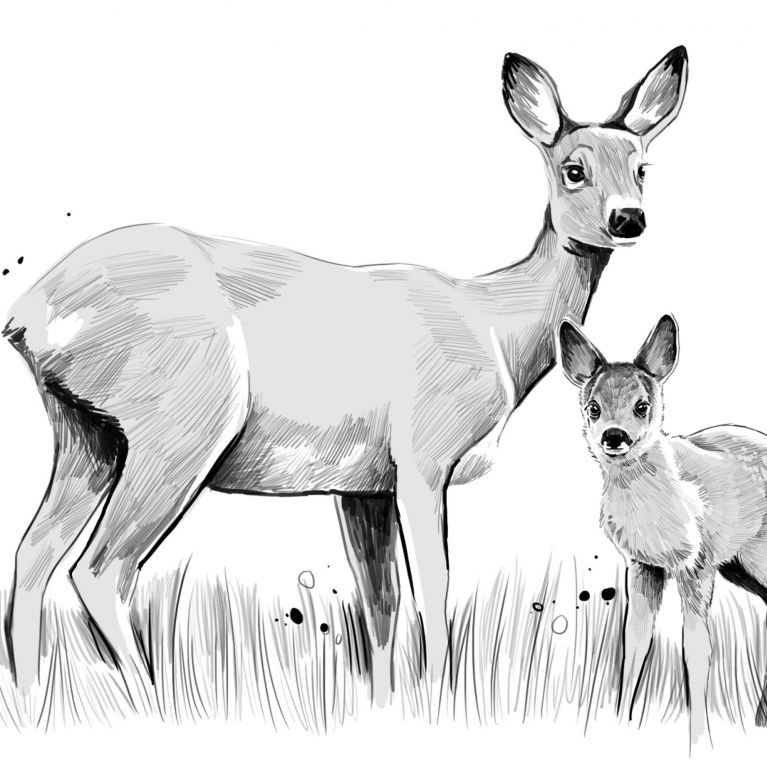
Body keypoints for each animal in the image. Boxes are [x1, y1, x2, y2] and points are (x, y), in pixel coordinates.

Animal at [2, 47, 687, 715]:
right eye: (574, 168)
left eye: (643, 167)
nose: (629, 218)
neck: (495, 324)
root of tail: (31, 312)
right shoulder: (422, 459)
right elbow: (433, 588)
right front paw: (442, 706)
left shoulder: (363, 487)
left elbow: (380, 607)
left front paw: (384, 709)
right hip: (181, 427)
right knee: (101, 570)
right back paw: (152, 705)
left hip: (87, 434)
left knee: (32, 556)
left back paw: (34, 704)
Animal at [559, 315, 767, 748]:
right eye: (593, 407)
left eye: (642, 405)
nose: (614, 436)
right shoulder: (643, 566)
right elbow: (634, 642)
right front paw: (621, 726)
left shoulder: (697, 564)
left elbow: (697, 650)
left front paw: (699, 742)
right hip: (740, 565)